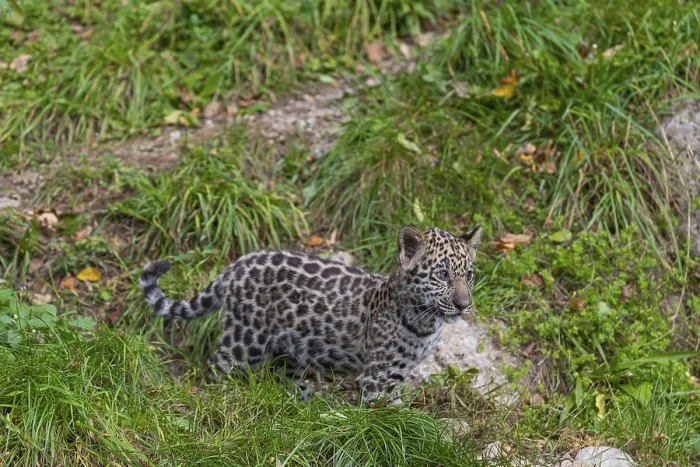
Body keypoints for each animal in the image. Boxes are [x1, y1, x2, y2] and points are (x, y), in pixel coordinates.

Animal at [140, 225, 482, 405]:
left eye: (469, 275)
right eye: (442, 275)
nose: (464, 304)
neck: (426, 322)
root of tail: (234, 266)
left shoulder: (398, 373)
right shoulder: (380, 377)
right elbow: (389, 417)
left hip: (291, 349)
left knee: (286, 375)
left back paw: (305, 407)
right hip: (245, 340)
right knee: (217, 365)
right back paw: (219, 398)